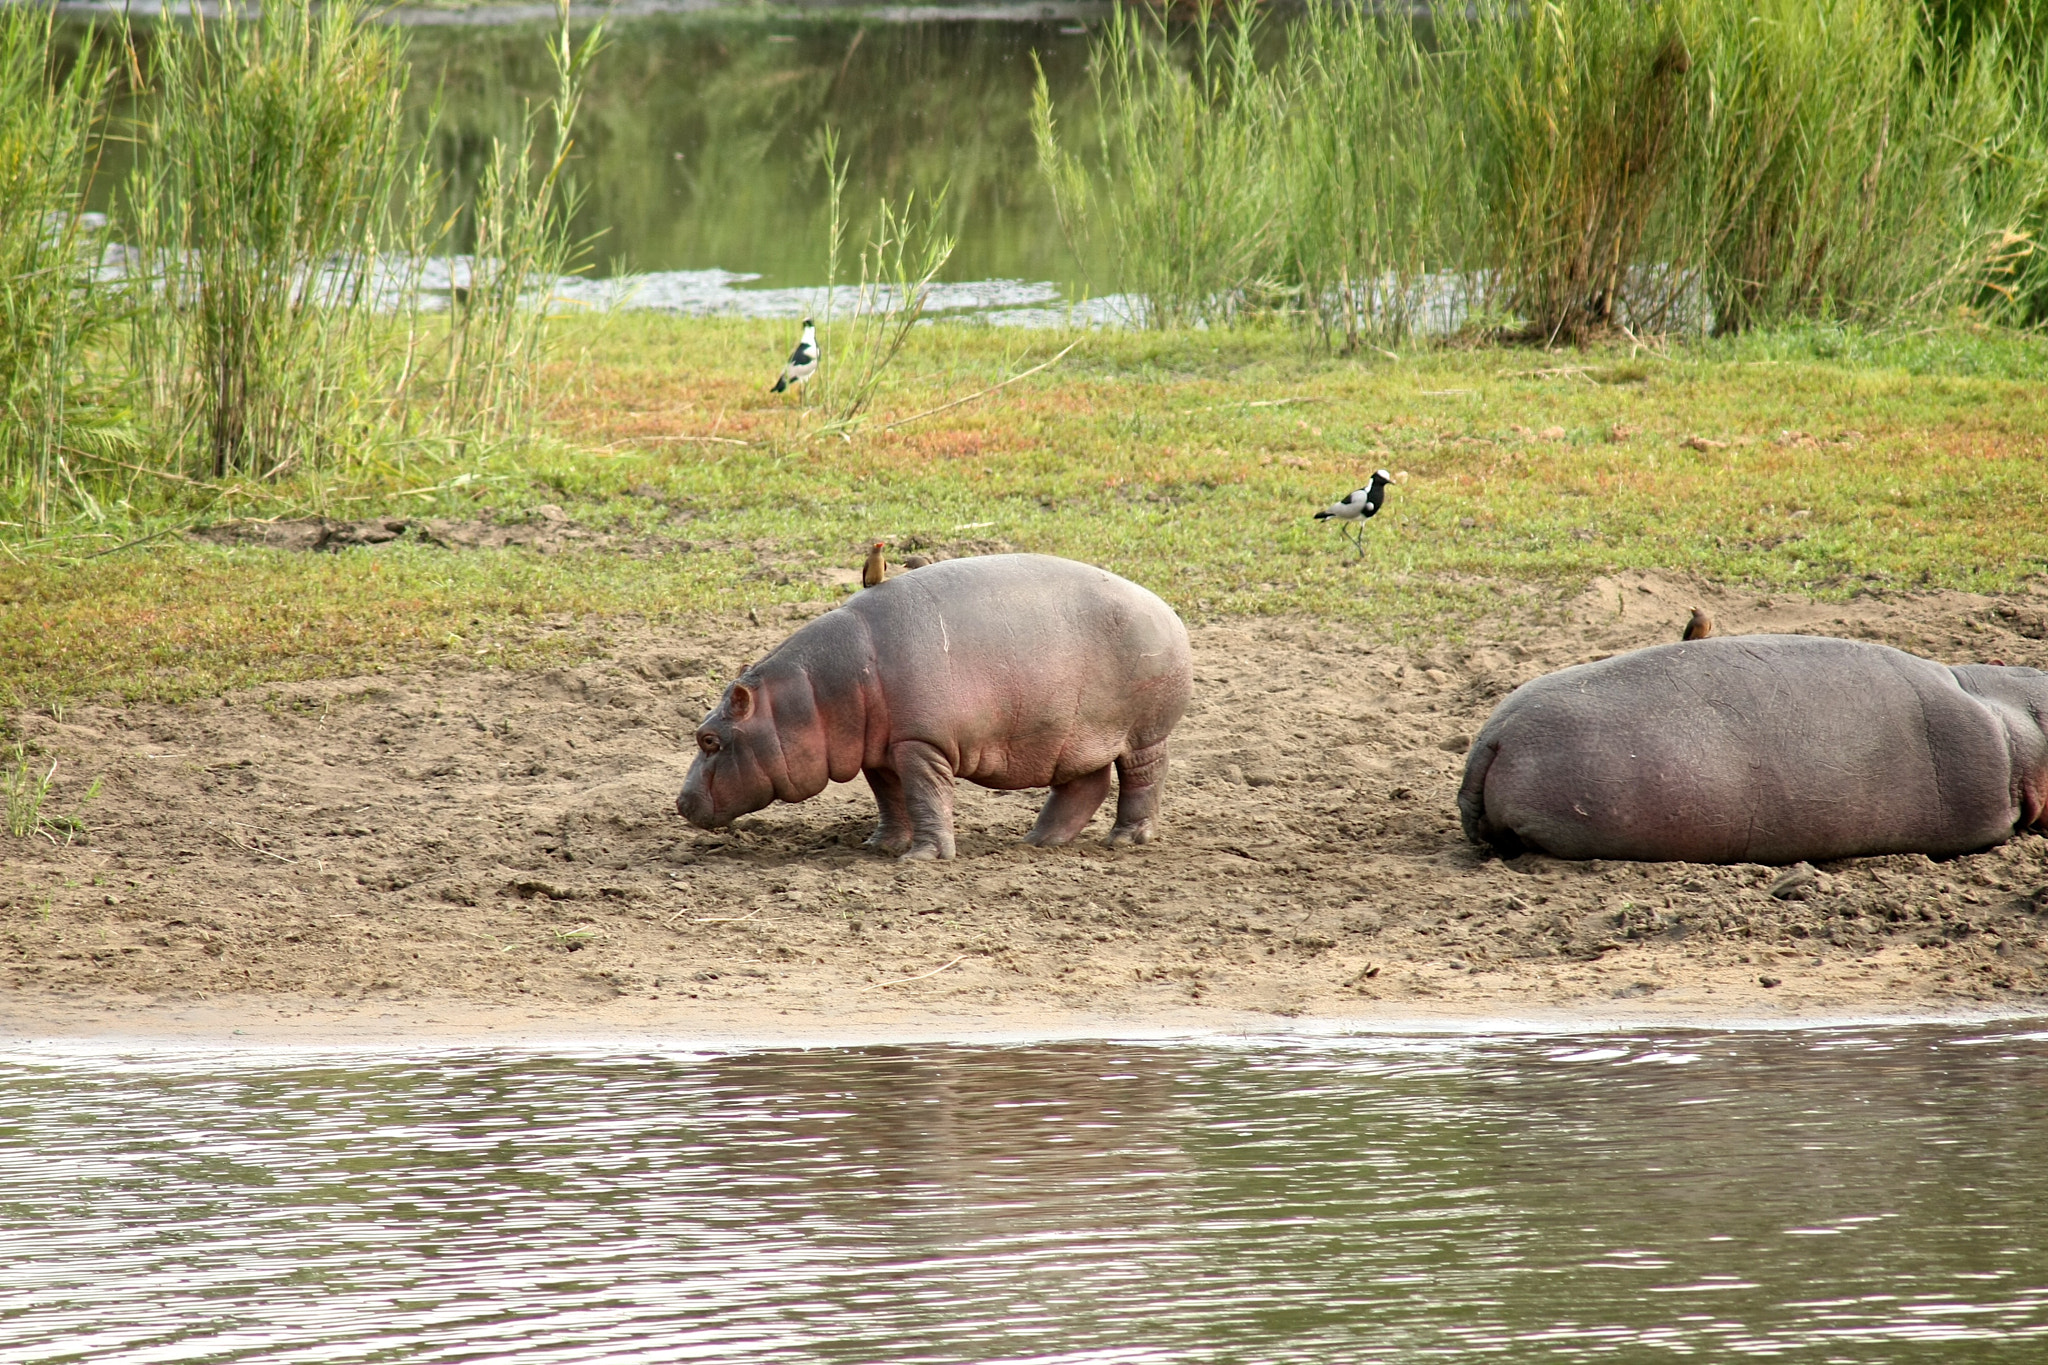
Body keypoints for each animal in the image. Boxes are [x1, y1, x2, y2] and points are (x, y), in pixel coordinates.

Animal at [678, 553, 1192, 859]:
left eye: (710, 739)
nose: (680, 802)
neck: (811, 693)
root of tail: (1167, 609)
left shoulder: (921, 744)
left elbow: (925, 796)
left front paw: (922, 858)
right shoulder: (880, 751)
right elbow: (891, 798)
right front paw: (881, 845)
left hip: (1144, 733)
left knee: (1143, 777)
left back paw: (1125, 839)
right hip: (1071, 734)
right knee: (1085, 784)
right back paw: (1036, 840)